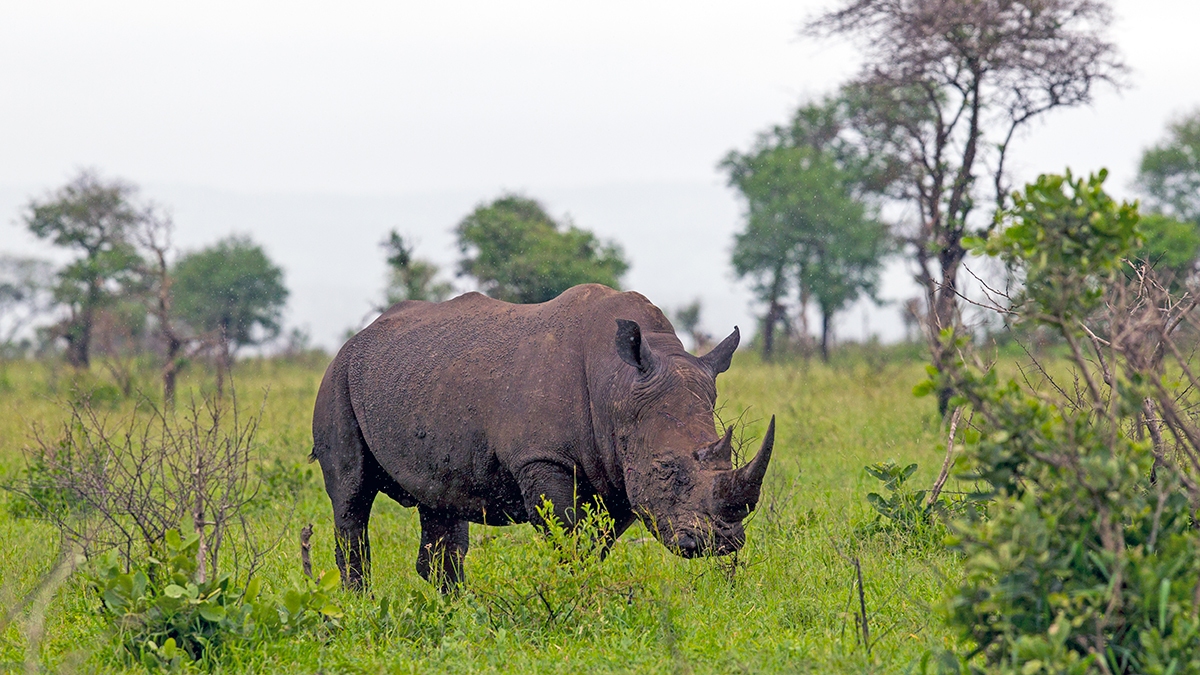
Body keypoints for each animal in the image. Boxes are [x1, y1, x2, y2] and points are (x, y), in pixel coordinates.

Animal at [311, 283, 775, 591]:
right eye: (666, 471)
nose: (721, 542)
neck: (618, 386)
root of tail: (357, 336)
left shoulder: (618, 471)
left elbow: (597, 541)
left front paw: (584, 586)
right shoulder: (542, 458)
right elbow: (568, 534)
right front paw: (574, 592)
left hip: (418, 380)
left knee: (439, 499)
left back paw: (455, 608)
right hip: (338, 378)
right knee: (352, 497)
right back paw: (360, 606)